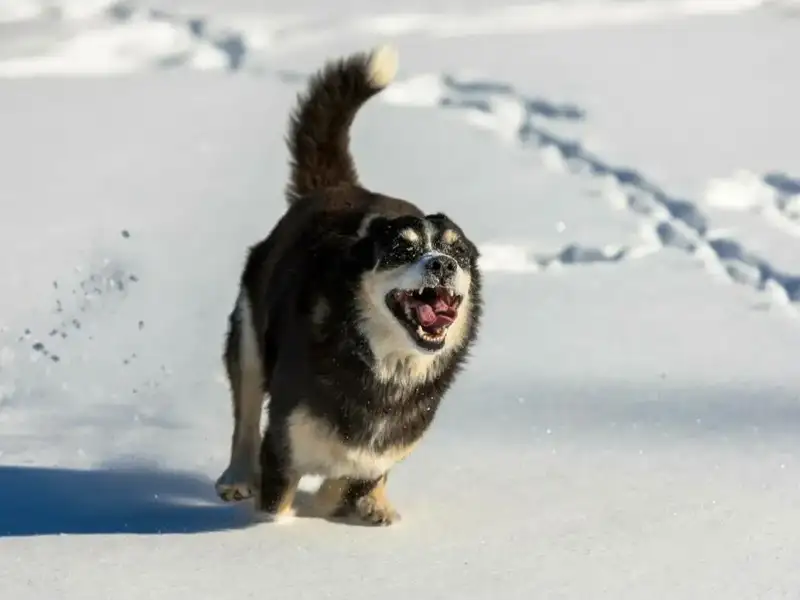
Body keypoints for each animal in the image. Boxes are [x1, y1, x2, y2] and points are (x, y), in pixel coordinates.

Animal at [212, 45, 484, 524]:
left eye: (460, 253)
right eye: (401, 250)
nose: (443, 264)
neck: (386, 367)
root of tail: (336, 188)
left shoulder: (383, 448)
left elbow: (350, 479)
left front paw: (352, 504)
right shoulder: (284, 445)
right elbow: (280, 501)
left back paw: (376, 505)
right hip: (249, 337)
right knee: (244, 417)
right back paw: (237, 477)